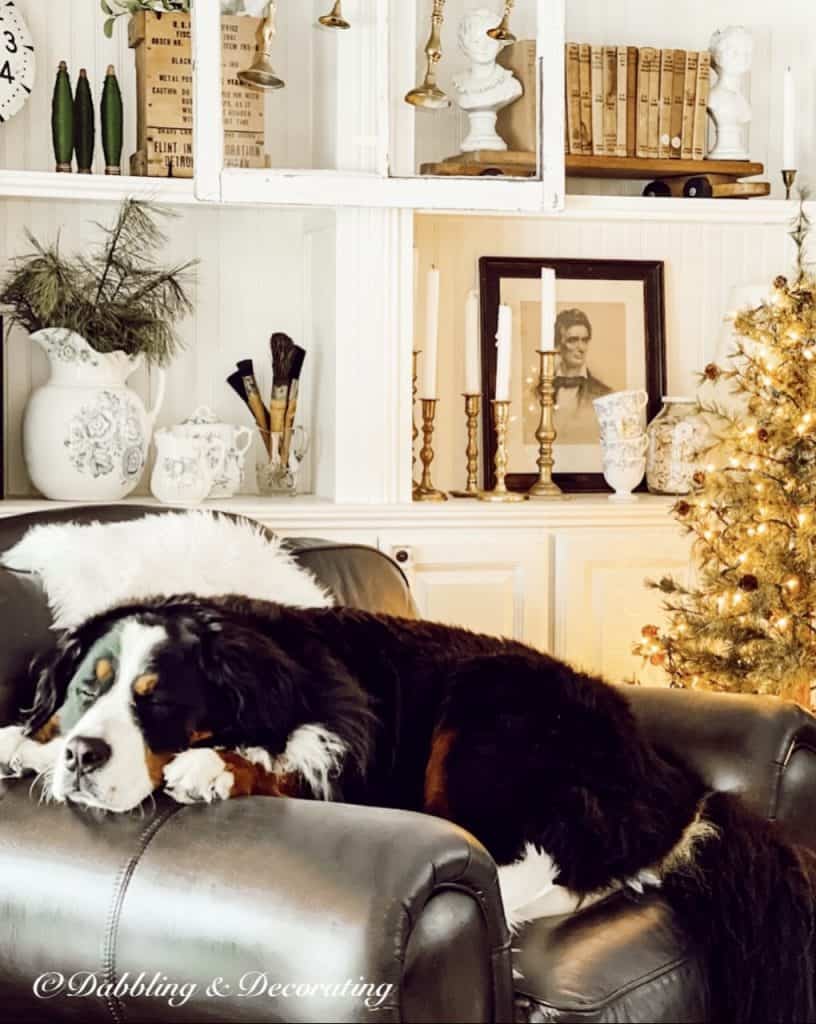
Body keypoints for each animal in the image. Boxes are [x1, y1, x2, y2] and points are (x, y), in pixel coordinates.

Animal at [1, 593, 814, 1024]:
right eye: (88, 688)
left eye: (159, 703)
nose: (84, 757)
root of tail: (659, 768)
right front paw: (24, 745)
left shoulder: (342, 743)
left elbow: (276, 764)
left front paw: (207, 768)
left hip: (487, 714)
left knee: (548, 860)